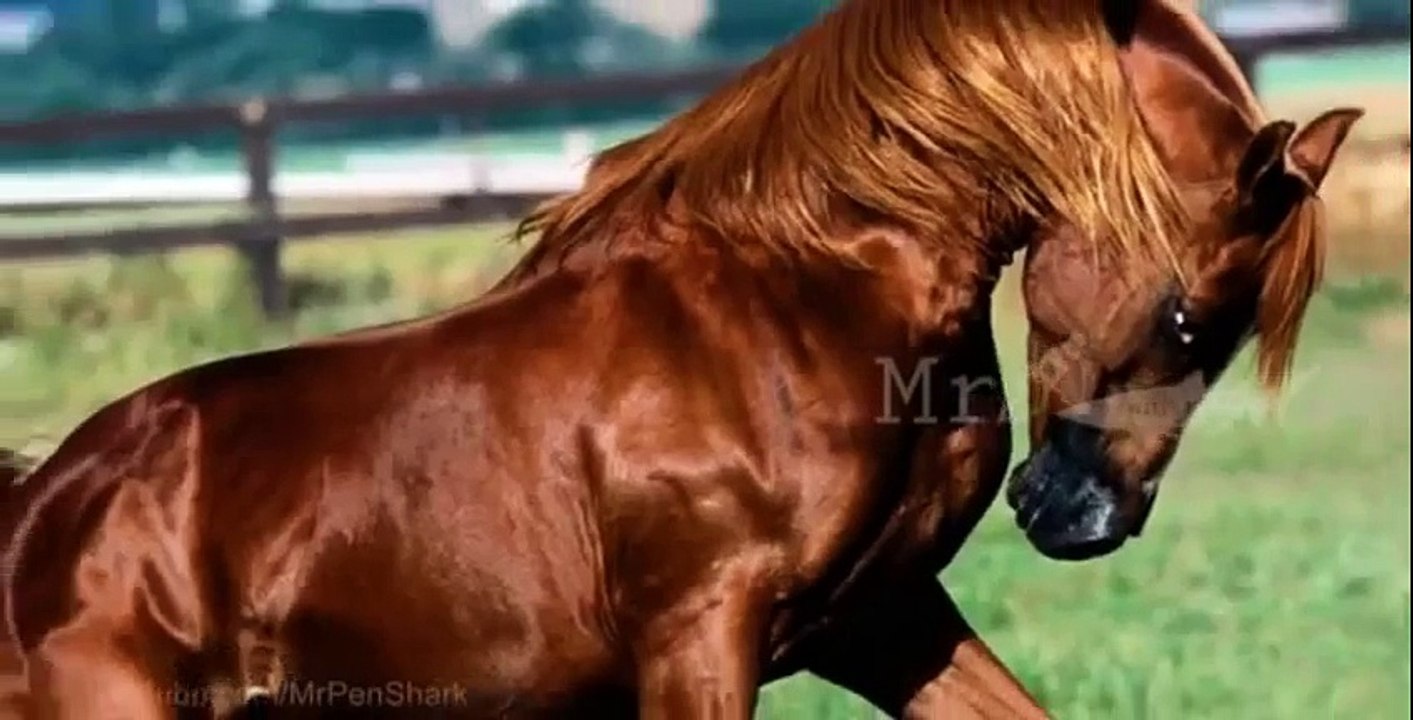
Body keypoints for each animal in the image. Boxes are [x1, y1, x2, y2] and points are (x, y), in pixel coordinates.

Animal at [0, 1, 1357, 718]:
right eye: (1189, 315)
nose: (1083, 516)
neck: (802, 300)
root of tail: (43, 509)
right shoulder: (700, 636)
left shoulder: (882, 619)